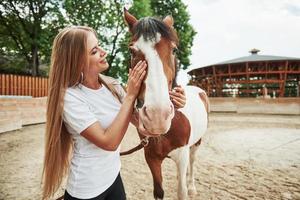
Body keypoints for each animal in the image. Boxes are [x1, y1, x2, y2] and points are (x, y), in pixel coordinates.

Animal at [123, 8, 209, 199]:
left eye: (174, 49)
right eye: (132, 51)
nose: (157, 117)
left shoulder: (182, 155)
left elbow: (181, 191)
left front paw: (187, 189)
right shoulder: (151, 157)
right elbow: (159, 191)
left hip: (196, 143)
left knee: (192, 162)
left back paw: (192, 187)